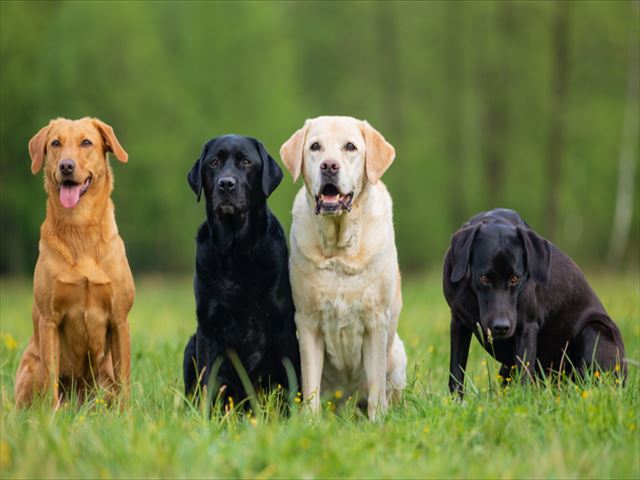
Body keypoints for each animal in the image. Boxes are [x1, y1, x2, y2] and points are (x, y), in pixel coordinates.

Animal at [181, 135, 298, 408]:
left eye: (246, 162)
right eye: (213, 163)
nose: (226, 183)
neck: (236, 255)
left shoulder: (282, 324)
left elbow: (290, 376)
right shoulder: (208, 326)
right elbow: (207, 380)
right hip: (191, 343)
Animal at [444, 208, 624, 396]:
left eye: (515, 278)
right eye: (484, 278)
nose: (501, 327)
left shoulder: (526, 326)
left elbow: (524, 371)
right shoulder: (458, 322)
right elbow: (456, 371)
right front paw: (456, 400)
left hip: (593, 332)